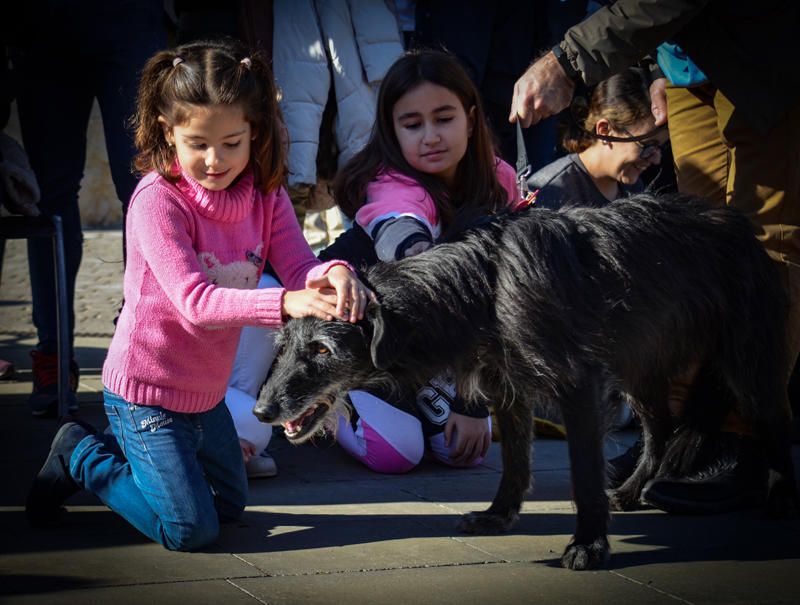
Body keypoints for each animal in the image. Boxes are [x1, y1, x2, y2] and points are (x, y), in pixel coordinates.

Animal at [253, 195, 796, 572]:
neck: (484, 284)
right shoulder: (507, 388)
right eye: (283, 347)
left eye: (322, 350)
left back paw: (780, 500)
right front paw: (499, 516)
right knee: (660, 429)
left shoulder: (579, 385)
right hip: (643, 369)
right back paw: (632, 491)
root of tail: (741, 226)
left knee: (774, 423)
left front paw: (589, 543)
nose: (262, 412)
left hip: (745, 367)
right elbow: (515, 459)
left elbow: (583, 473)